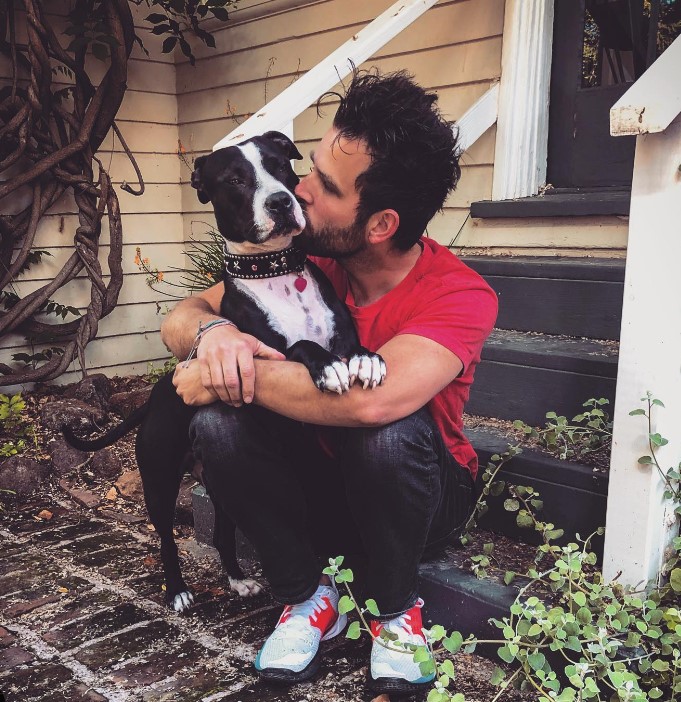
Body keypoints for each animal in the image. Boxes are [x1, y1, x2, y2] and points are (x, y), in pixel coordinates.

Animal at [65, 133, 386, 616]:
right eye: (235, 180)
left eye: (279, 164)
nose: (280, 202)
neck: (277, 273)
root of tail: (155, 396)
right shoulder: (266, 358)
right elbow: (300, 346)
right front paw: (328, 365)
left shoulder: (340, 331)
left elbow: (352, 347)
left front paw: (366, 359)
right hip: (159, 481)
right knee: (165, 539)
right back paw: (177, 591)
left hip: (216, 487)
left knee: (220, 532)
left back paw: (236, 579)